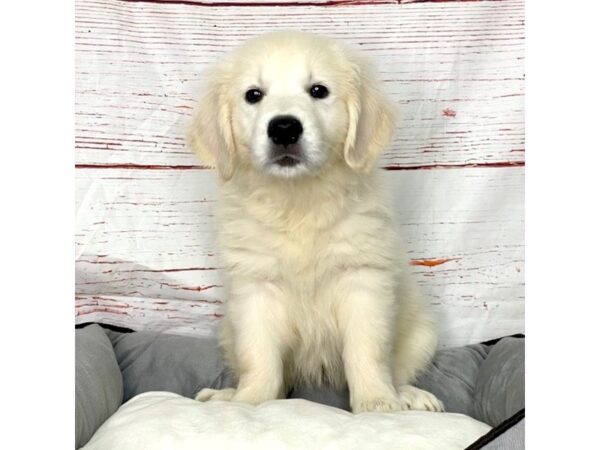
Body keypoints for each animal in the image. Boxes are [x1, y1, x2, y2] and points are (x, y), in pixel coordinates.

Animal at [190, 29, 442, 414]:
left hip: (422, 334)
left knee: (398, 369)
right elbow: (259, 357)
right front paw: (249, 402)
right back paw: (226, 394)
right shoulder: (256, 289)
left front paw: (377, 402)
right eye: (253, 95)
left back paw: (408, 395)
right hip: (227, 333)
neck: (299, 200)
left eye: (318, 90)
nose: (284, 128)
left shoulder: (363, 281)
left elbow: (367, 351)